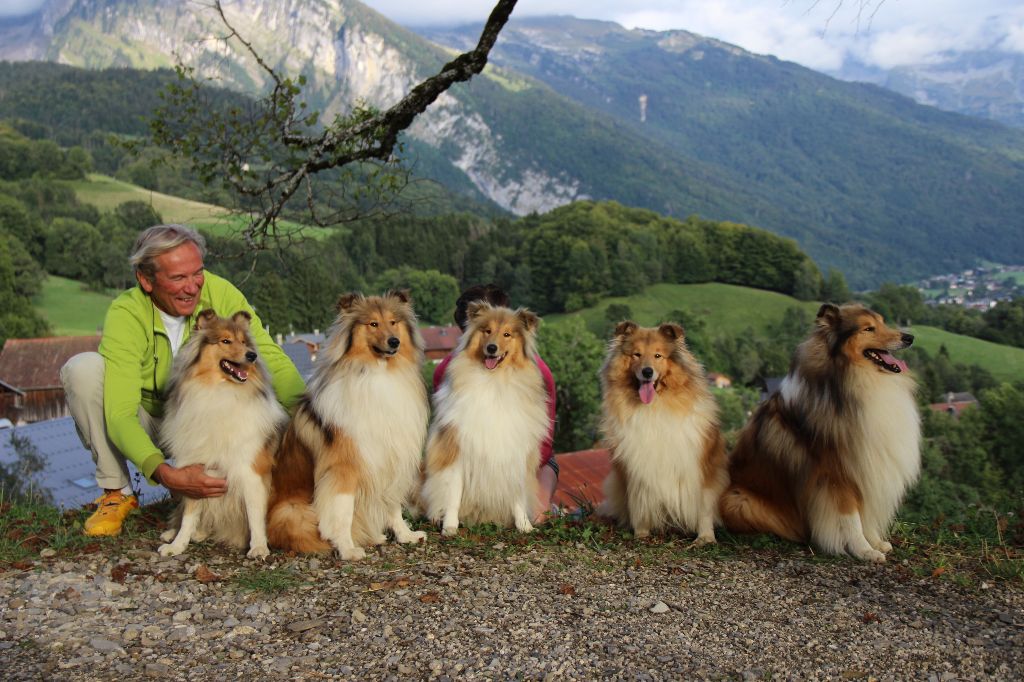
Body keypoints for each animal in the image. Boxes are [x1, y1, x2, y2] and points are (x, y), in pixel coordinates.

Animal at [153, 311, 288, 557]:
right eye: (226, 341)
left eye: (244, 342)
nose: (252, 355)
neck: (220, 391)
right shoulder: (195, 471)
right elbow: (188, 514)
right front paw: (177, 545)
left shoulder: (251, 471)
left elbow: (255, 513)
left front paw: (258, 547)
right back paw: (175, 533)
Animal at [268, 288, 428, 557]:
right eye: (373, 323)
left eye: (393, 322)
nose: (394, 342)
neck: (379, 373)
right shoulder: (344, 468)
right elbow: (342, 512)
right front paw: (347, 549)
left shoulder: (390, 459)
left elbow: (393, 505)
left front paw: (405, 535)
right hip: (293, 511)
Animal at [421, 301, 552, 532]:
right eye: (487, 331)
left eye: (507, 334)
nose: (492, 348)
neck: (495, 380)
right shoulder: (457, 449)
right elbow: (453, 493)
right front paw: (449, 526)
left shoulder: (516, 453)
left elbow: (517, 495)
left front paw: (524, 526)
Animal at [598, 321, 733, 544]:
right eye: (636, 354)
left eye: (658, 355)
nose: (647, 372)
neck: (655, 406)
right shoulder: (636, 469)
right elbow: (639, 504)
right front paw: (641, 533)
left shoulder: (702, 467)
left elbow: (704, 506)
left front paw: (705, 538)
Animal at [720, 301, 921, 557]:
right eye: (868, 329)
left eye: (883, 322)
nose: (909, 337)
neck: (853, 382)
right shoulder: (835, 474)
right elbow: (852, 518)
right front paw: (864, 551)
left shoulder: (865, 467)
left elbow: (865, 515)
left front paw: (876, 542)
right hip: (738, 500)